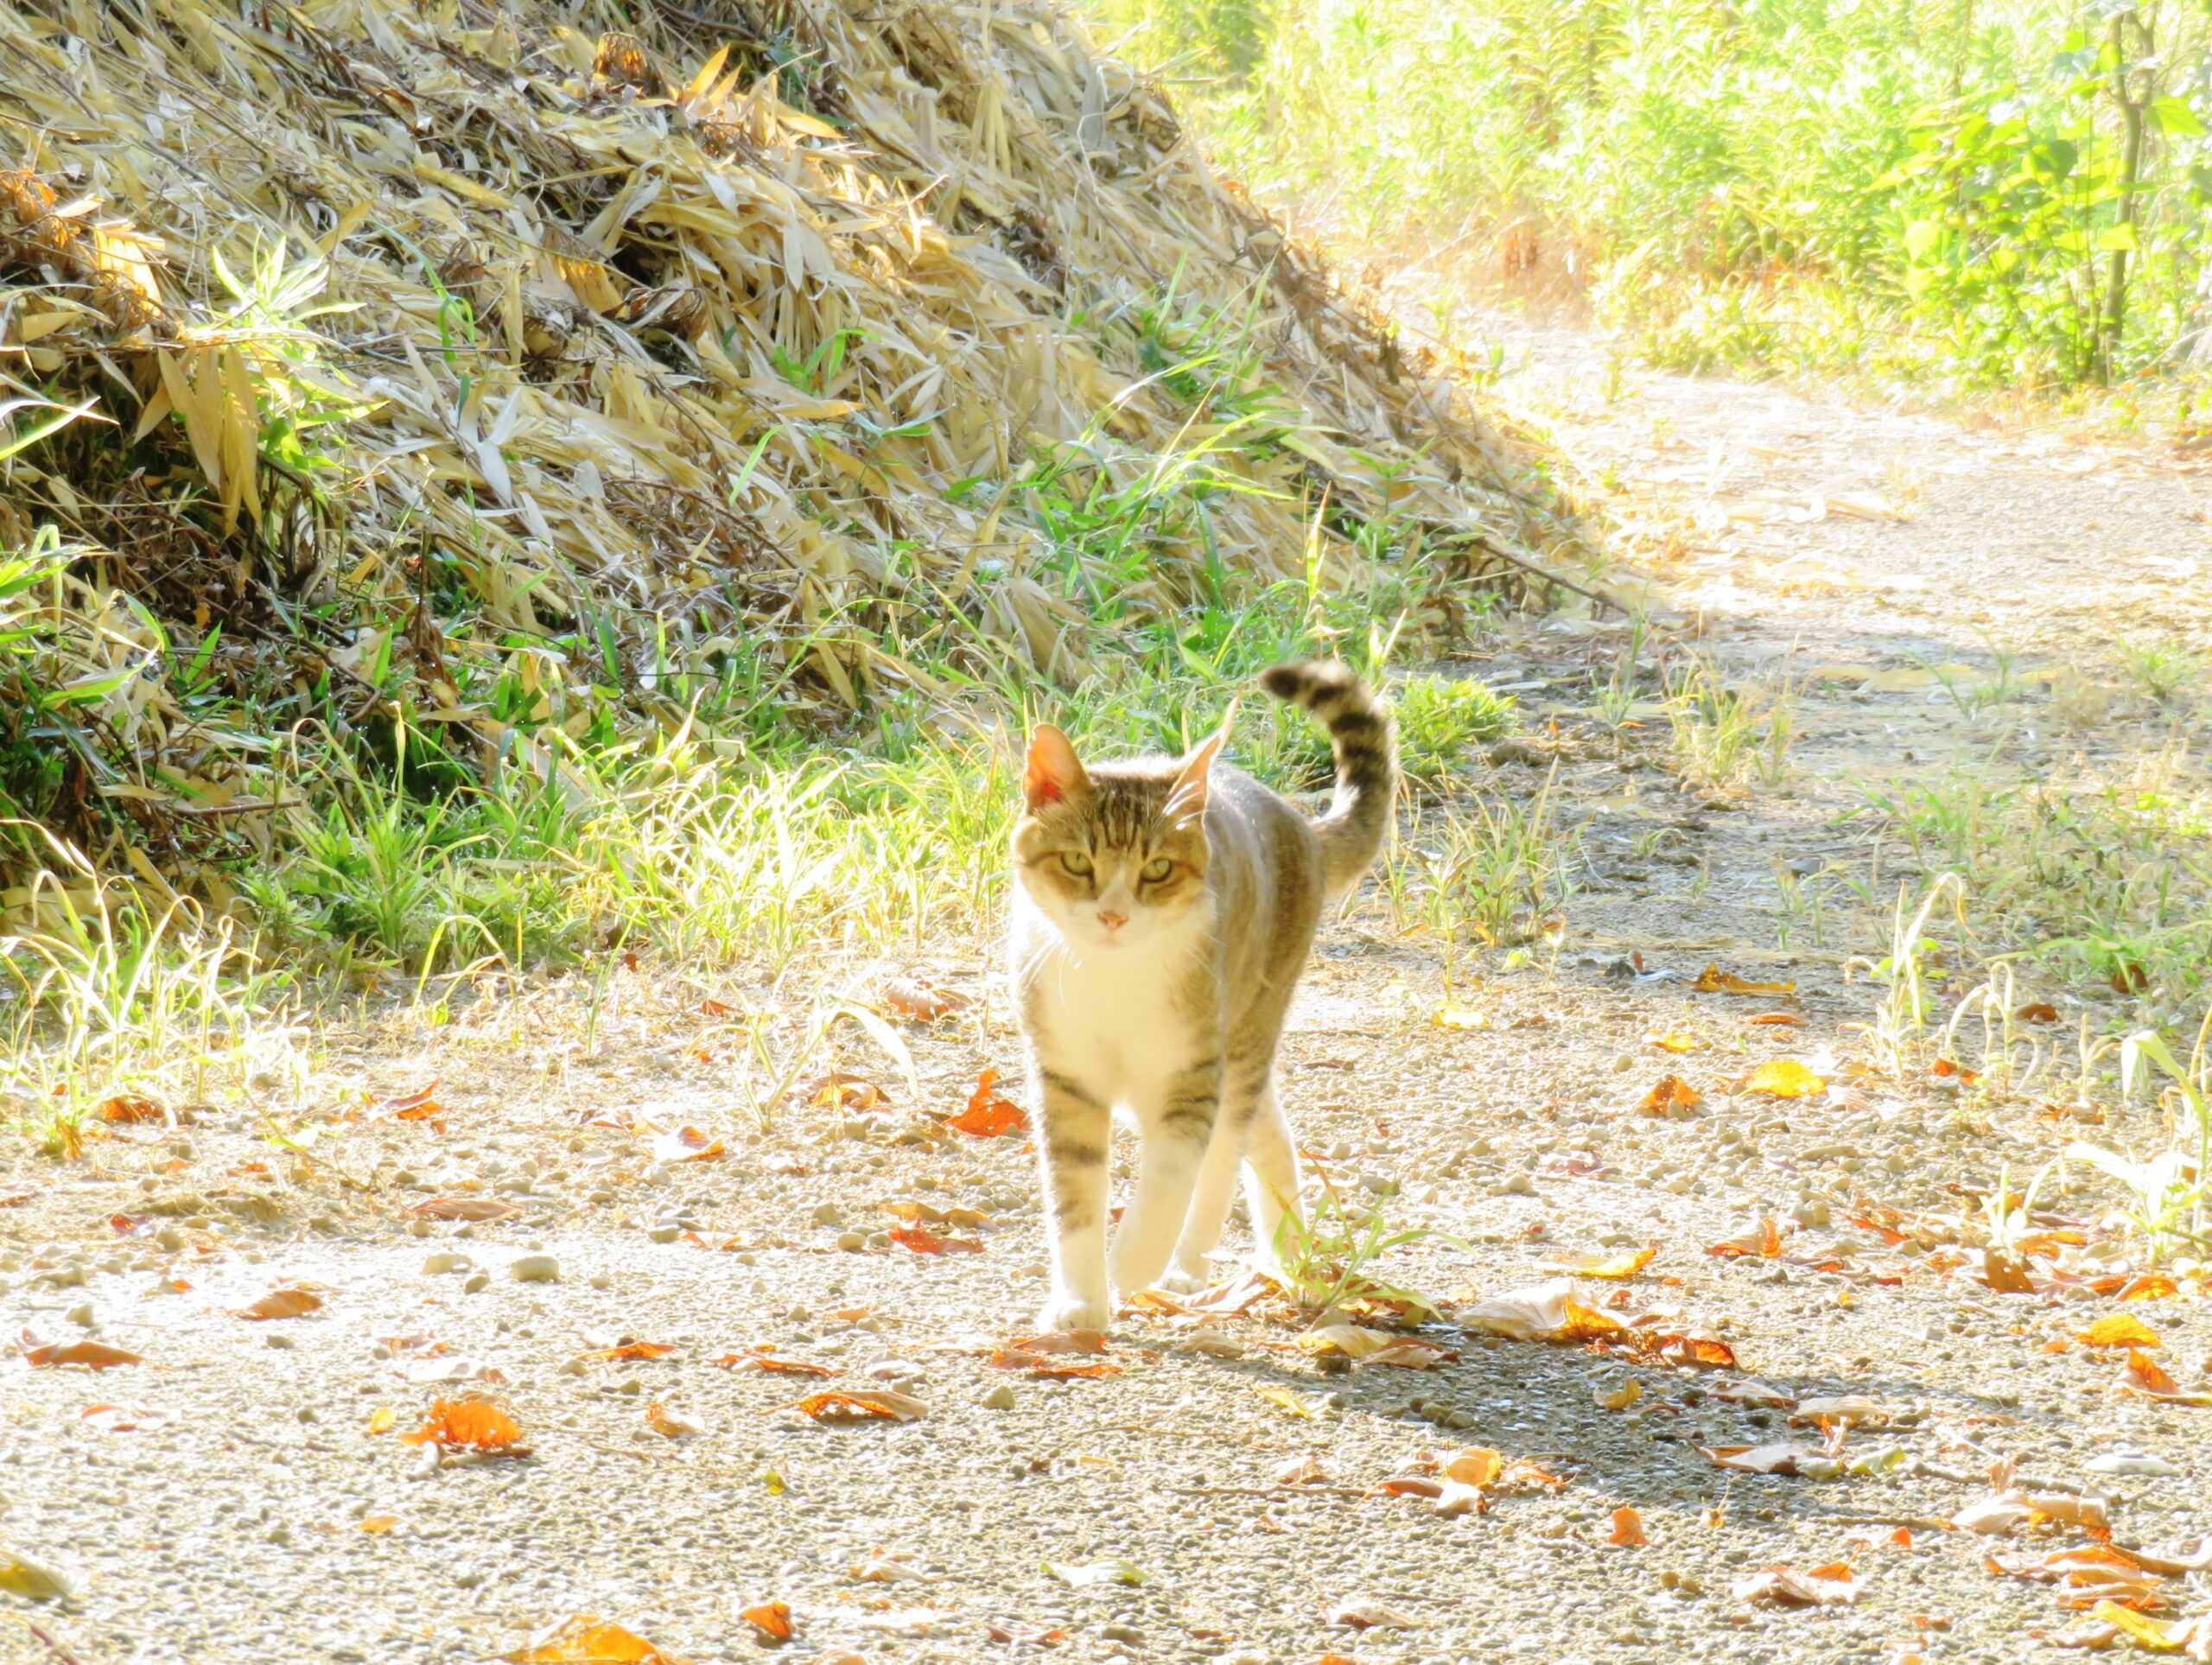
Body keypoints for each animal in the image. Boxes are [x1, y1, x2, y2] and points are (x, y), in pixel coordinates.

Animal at [1013, 663, 1389, 1326]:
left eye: (1158, 869)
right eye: (1077, 862)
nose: (1113, 916)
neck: (1114, 976)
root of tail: (1299, 823)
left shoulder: (1189, 1073)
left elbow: (1172, 1176)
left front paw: (1134, 1259)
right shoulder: (1065, 1076)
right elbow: (1074, 1194)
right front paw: (1081, 1301)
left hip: (1243, 1036)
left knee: (1225, 1154)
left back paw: (1193, 1268)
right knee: (1271, 1133)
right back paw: (1288, 1253)